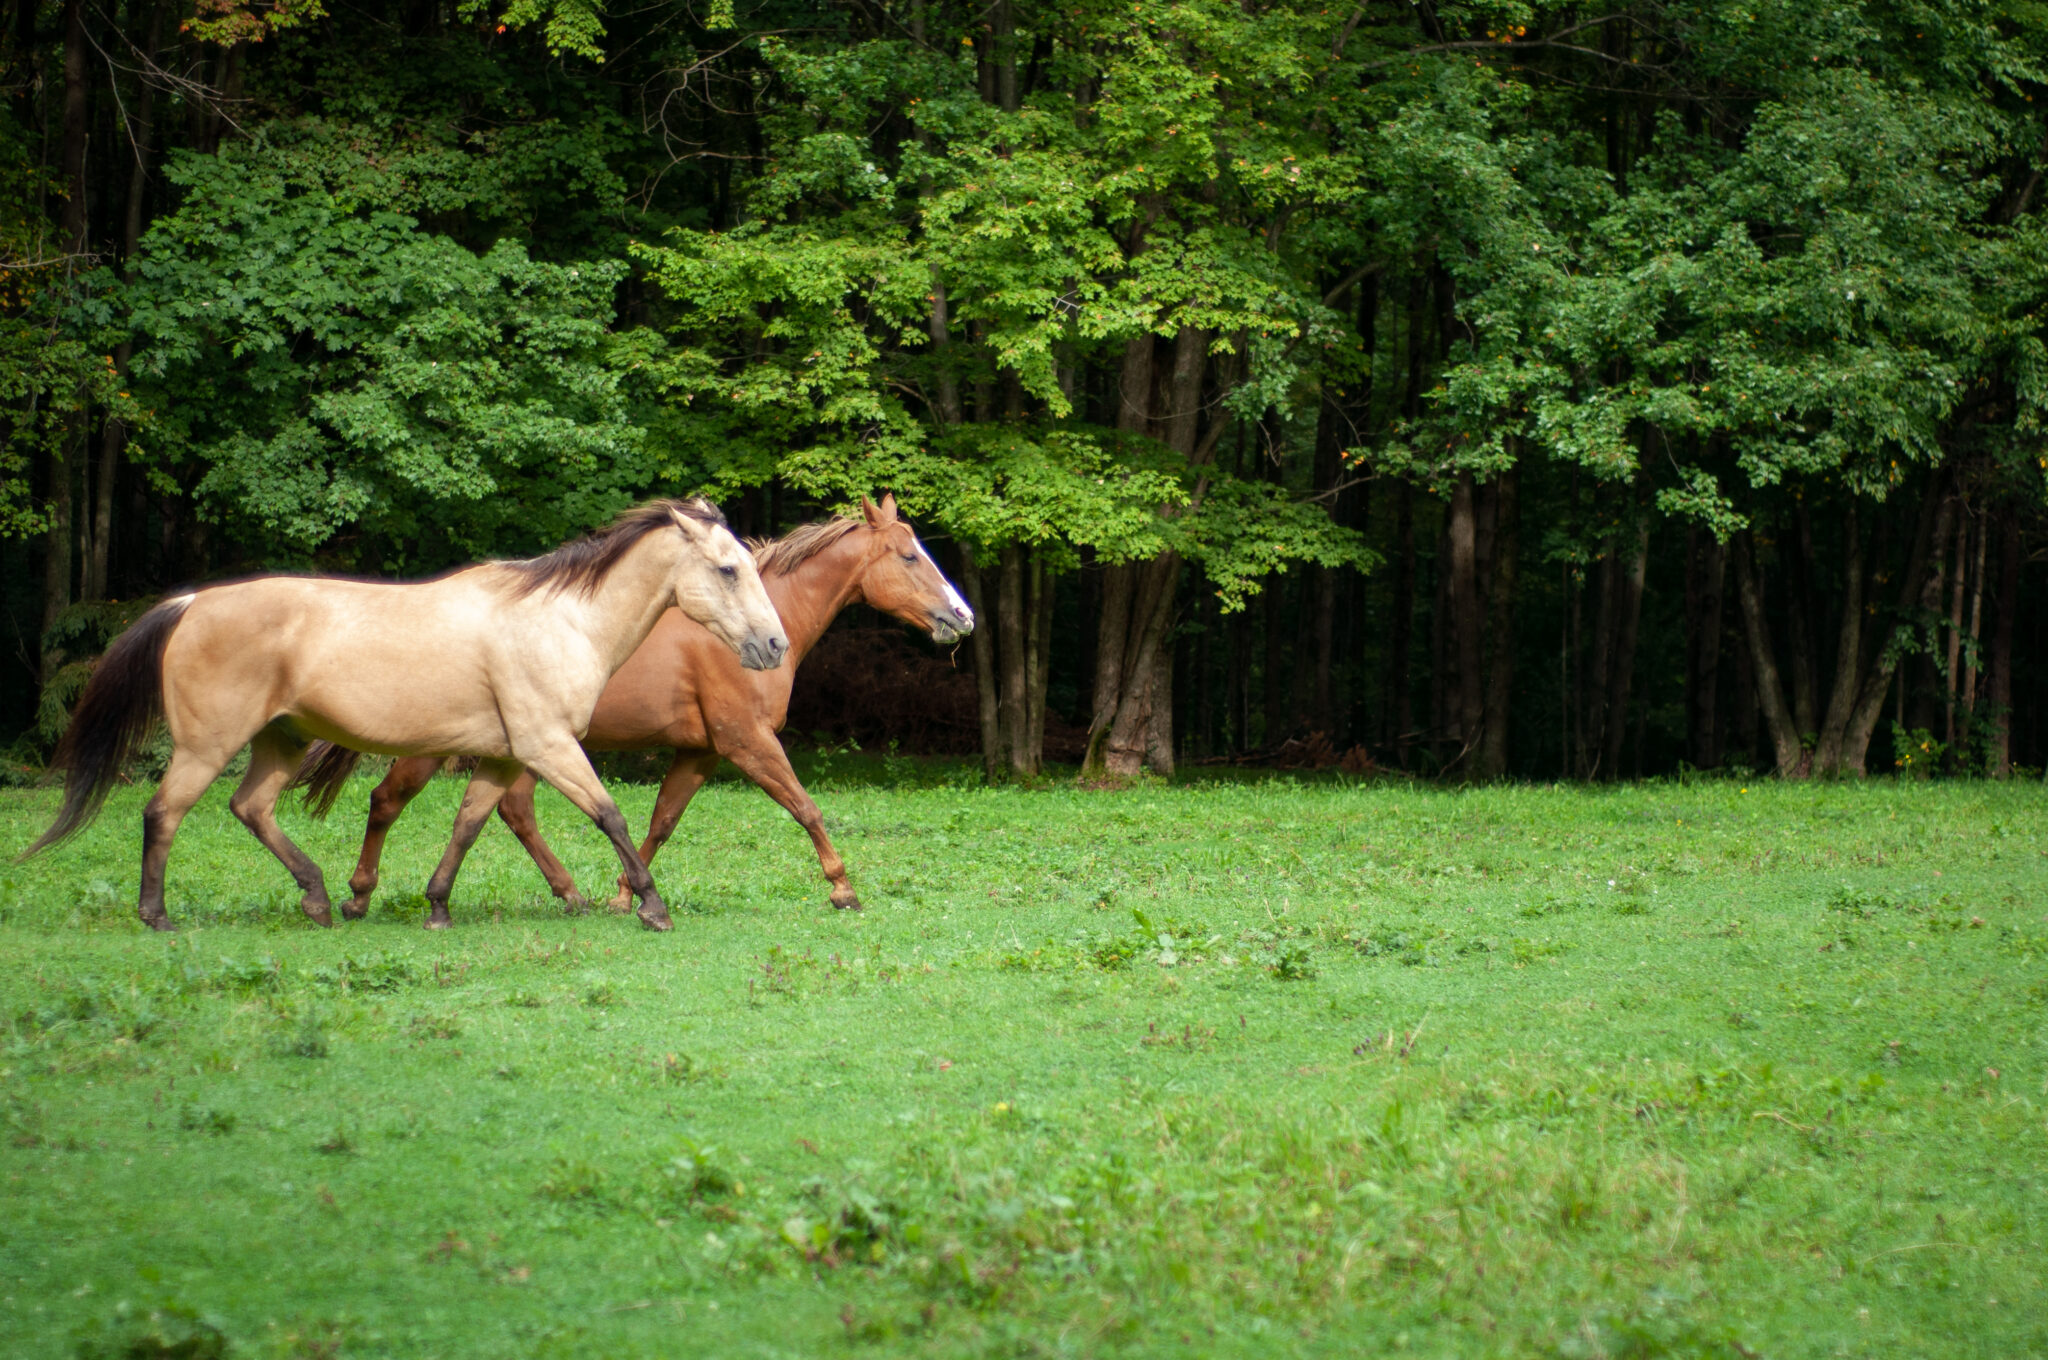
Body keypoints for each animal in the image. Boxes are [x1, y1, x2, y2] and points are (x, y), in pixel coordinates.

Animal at [19, 499, 786, 933]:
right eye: (727, 570)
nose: (774, 645)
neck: (560, 621)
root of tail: (190, 604)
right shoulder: (548, 747)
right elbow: (611, 816)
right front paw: (652, 908)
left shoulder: (504, 755)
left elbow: (467, 826)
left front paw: (438, 908)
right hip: (208, 747)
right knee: (164, 814)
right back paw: (158, 917)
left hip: (279, 742)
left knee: (251, 809)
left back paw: (321, 901)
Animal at [301, 489, 974, 913]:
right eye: (909, 556)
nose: (962, 616)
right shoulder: (748, 742)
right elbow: (806, 809)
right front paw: (842, 889)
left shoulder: (702, 754)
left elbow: (660, 823)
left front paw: (627, 892)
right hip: (441, 748)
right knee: (389, 800)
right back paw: (358, 894)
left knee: (511, 810)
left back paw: (569, 894)